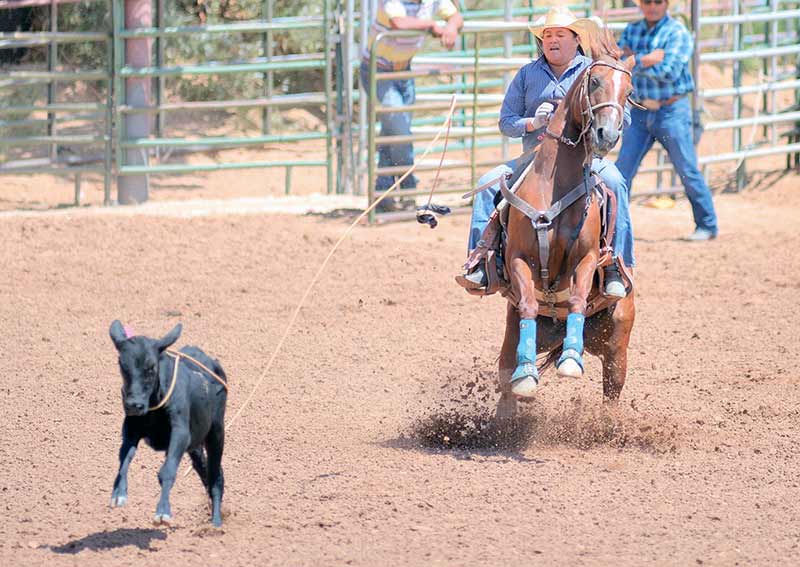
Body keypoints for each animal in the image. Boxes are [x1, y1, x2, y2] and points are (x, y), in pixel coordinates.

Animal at [108, 322, 227, 524]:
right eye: (122, 365)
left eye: (151, 367)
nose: (134, 405)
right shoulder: (130, 429)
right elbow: (124, 459)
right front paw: (118, 494)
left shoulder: (180, 433)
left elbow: (168, 470)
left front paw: (163, 512)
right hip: (195, 445)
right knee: (204, 470)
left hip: (216, 432)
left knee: (216, 477)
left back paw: (216, 523)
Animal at [496, 33, 636, 420]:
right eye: (595, 81)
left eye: (629, 90)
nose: (607, 135)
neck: (553, 185)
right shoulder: (519, 259)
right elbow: (530, 304)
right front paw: (527, 378)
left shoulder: (585, 259)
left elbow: (575, 296)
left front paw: (571, 361)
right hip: (511, 335)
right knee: (505, 376)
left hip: (617, 346)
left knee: (612, 390)